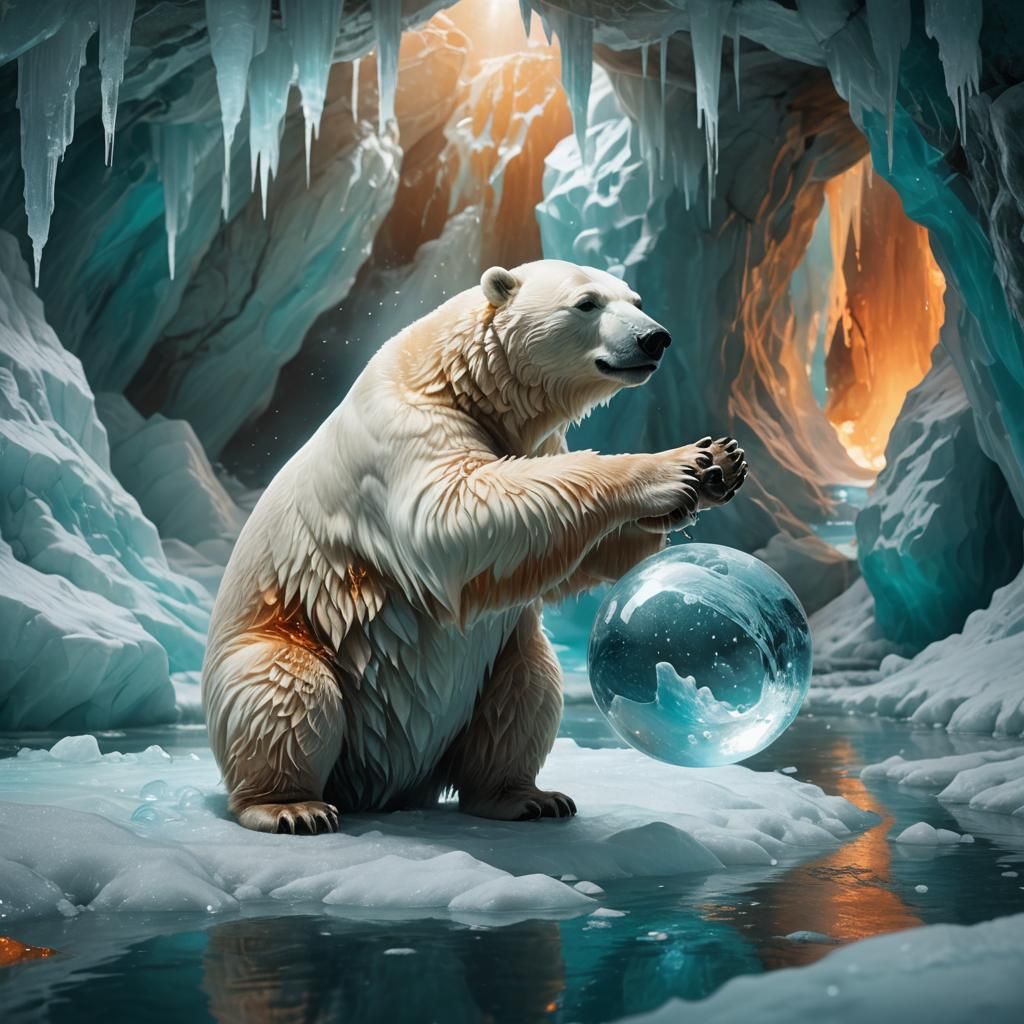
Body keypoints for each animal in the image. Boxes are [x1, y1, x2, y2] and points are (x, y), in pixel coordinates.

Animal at [202, 259, 747, 834]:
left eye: (636, 300)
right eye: (586, 303)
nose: (655, 338)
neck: (458, 379)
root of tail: (386, 782)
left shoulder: (534, 440)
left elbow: (574, 554)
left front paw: (720, 464)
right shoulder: (408, 429)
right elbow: (457, 512)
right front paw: (676, 465)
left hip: (497, 671)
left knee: (525, 692)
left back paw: (526, 797)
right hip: (289, 636)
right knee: (287, 691)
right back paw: (290, 806)